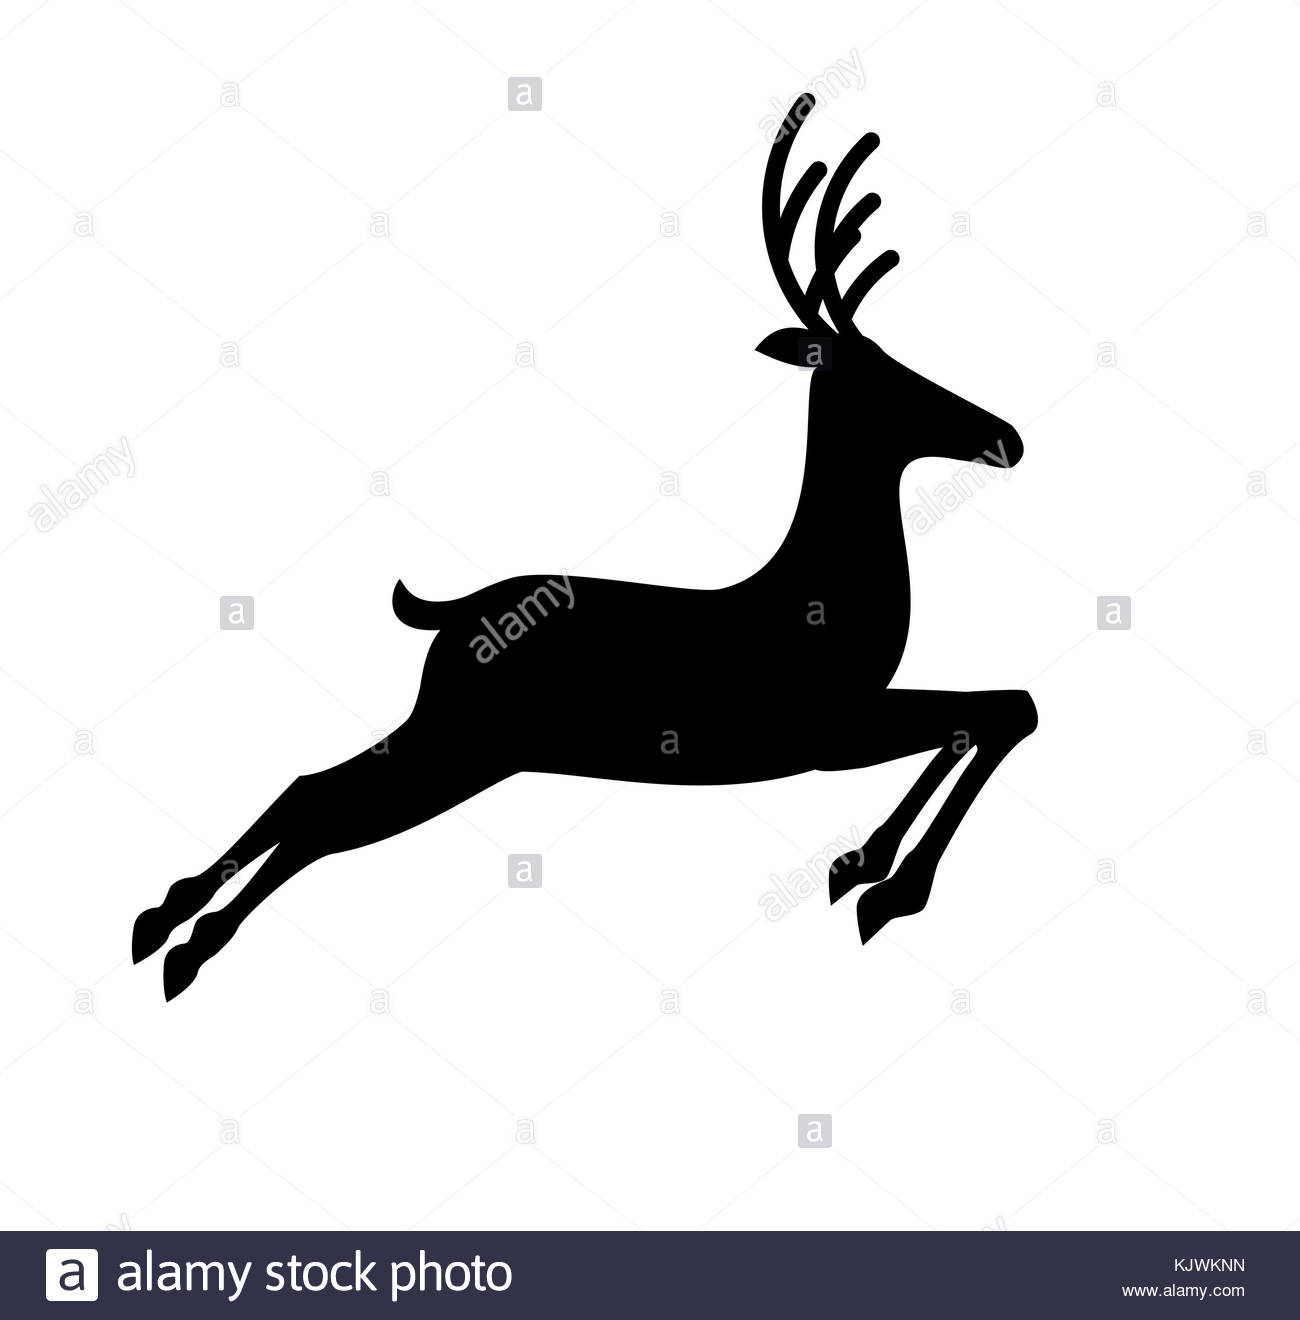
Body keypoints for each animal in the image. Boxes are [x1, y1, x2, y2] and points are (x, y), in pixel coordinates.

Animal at [133, 95, 1036, 1000]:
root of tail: (449, 616)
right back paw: (184, 942)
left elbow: (997, 709)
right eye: (885, 377)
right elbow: (998, 710)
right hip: (462, 744)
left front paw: (863, 871)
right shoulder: (821, 727)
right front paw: (880, 884)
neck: (828, 589)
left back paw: (162, 926)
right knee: (324, 810)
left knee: (312, 789)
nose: (1007, 437)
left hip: (458, 741)